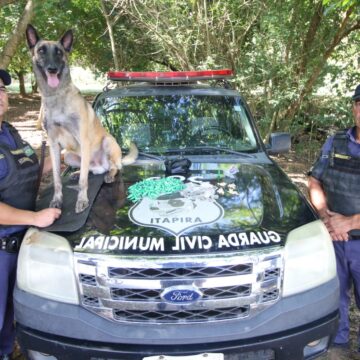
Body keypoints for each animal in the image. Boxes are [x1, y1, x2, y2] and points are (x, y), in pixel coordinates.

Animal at [25, 24, 138, 214]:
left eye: (59, 52)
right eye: (41, 51)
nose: (52, 69)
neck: (56, 96)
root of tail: (102, 166)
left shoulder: (84, 140)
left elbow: (83, 182)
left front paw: (82, 200)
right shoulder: (53, 145)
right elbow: (57, 179)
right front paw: (57, 200)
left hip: (107, 142)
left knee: (113, 167)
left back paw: (109, 174)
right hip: (68, 155)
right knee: (89, 169)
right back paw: (78, 172)